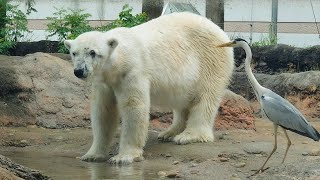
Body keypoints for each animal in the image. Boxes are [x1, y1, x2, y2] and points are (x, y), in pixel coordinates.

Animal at [63, 12, 234, 165]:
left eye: (93, 52)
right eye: (74, 53)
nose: (79, 71)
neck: (119, 61)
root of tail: (219, 30)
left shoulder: (132, 71)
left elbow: (133, 107)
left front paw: (123, 157)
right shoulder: (105, 82)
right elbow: (103, 111)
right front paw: (92, 155)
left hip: (211, 60)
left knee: (205, 97)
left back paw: (189, 135)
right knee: (182, 101)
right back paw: (169, 133)